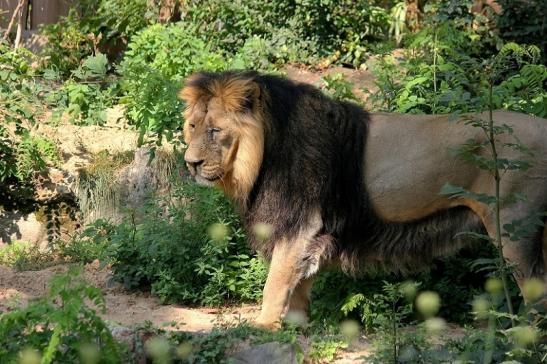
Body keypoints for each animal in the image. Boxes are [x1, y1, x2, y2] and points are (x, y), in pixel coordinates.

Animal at [180, 69, 547, 328]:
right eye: (193, 126)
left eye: (215, 130)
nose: (190, 163)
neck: (263, 154)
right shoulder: (309, 233)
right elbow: (298, 288)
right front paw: (297, 330)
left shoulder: (299, 223)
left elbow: (275, 284)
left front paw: (263, 327)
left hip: (514, 228)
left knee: (536, 293)